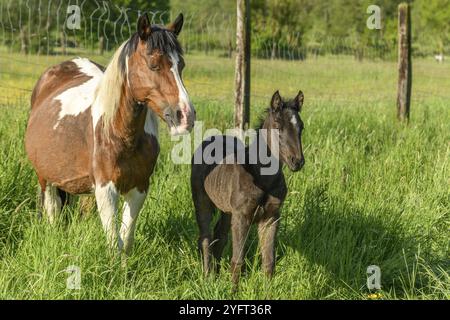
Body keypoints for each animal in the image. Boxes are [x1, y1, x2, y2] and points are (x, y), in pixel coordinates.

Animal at [24, 13, 193, 254]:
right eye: (153, 64)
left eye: (181, 65)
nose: (186, 116)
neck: (121, 134)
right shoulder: (106, 190)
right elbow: (114, 242)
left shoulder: (139, 188)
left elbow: (126, 238)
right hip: (46, 179)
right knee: (52, 214)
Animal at [190, 90, 306, 290]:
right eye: (278, 127)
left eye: (301, 127)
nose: (297, 161)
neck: (261, 178)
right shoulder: (242, 216)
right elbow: (238, 260)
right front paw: (232, 291)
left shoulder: (271, 218)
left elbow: (269, 261)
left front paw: (268, 291)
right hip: (202, 201)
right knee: (205, 237)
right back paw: (207, 277)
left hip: (227, 210)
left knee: (220, 236)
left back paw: (217, 275)